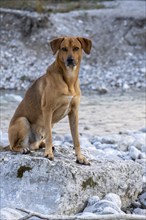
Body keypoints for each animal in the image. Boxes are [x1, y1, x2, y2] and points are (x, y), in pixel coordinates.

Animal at [8, 36, 91, 165]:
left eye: (76, 48)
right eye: (63, 49)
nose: (70, 60)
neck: (69, 80)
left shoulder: (74, 112)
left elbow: (76, 138)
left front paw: (80, 157)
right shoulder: (48, 110)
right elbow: (50, 136)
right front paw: (48, 154)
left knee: (37, 144)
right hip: (22, 121)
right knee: (13, 146)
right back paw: (23, 149)